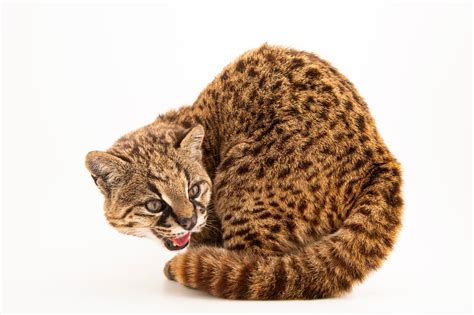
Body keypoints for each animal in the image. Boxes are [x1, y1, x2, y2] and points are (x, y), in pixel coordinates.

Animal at [86, 43, 404, 298]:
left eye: (194, 190)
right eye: (154, 204)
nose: (189, 222)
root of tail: (380, 158)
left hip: (242, 183)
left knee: (256, 268)